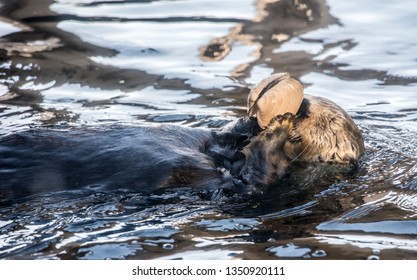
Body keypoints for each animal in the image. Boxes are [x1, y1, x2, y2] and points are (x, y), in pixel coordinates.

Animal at [0, 73, 362, 202]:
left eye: (327, 121)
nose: (302, 104)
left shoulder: (252, 187)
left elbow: (253, 183)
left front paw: (278, 129)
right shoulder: (218, 144)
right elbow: (222, 136)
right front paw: (251, 123)